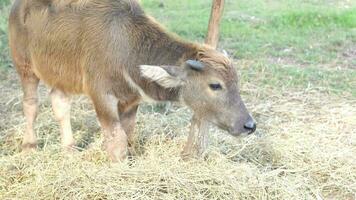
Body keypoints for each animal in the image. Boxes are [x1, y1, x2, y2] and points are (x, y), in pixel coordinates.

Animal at [9, 0, 256, 161]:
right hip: (25, 66)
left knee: (60, 102)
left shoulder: (131, 100)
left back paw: (69, 148)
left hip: (60, 75)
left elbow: (127, 136)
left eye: (236, 84)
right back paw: (29, 146)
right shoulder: (102, 96)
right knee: (31, 104)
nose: (249, 125)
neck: (127, 47)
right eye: (215, 85)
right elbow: (117, 141)